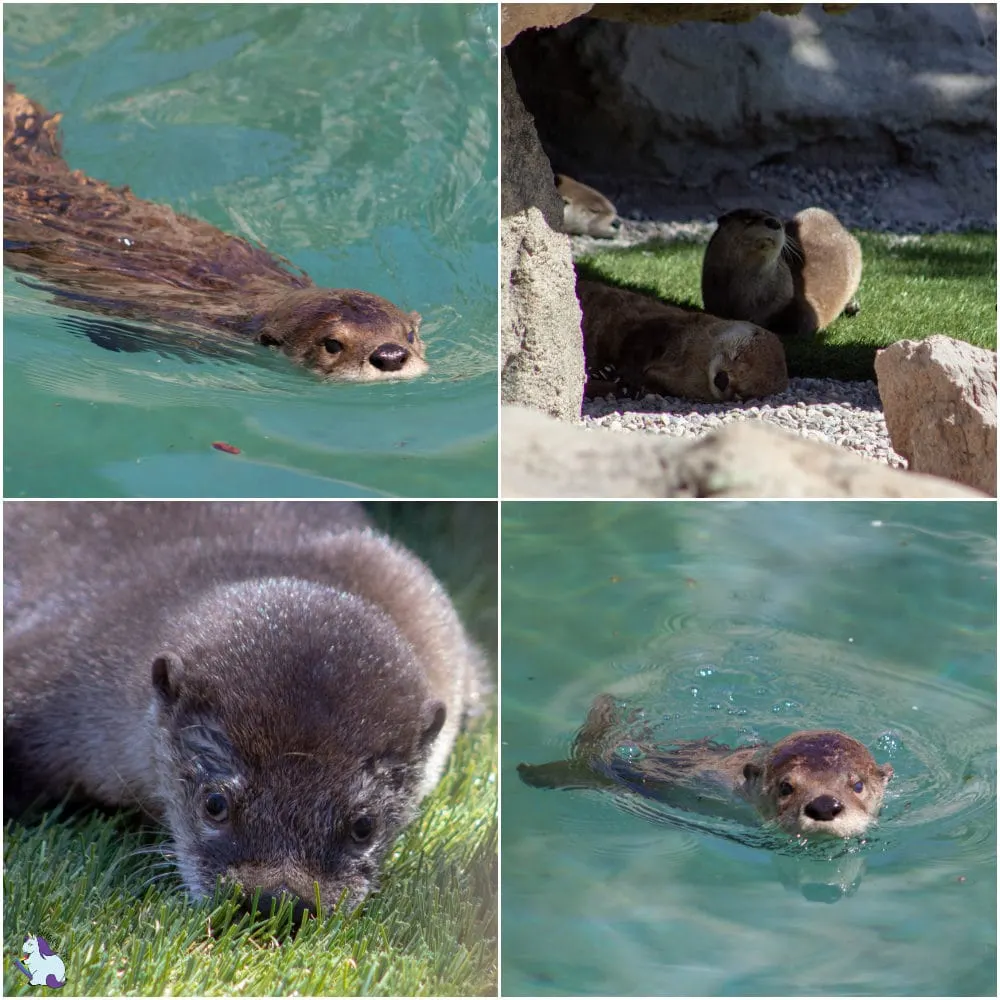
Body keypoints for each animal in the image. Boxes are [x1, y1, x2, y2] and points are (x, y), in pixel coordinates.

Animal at [580, 278, 788, 402]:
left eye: (742, 392)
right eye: (736, 356)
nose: (722, 379)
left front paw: (629, 386)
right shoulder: (660, 324)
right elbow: (636, 342)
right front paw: (614, 373)